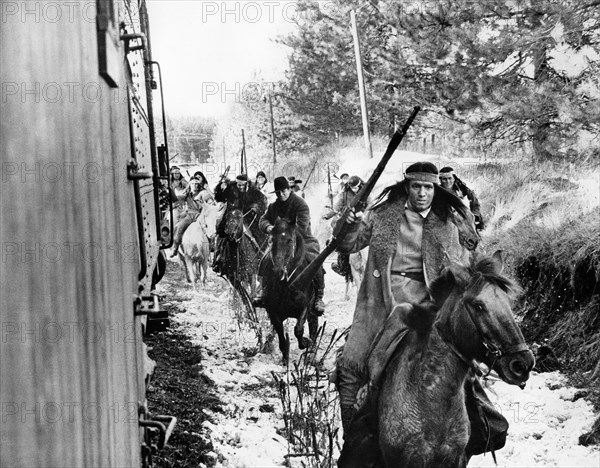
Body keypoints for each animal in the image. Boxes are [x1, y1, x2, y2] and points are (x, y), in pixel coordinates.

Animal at [262, 218, 318, 362]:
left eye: (290, 241)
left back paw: (312, 353)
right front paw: (284, 358)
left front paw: (305, 343)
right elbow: (281, 337)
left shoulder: (305, 307)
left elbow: (298, 330)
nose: (278, 269)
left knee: (314, 327)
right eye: (271, 240)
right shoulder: (273, 312)